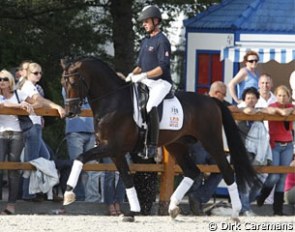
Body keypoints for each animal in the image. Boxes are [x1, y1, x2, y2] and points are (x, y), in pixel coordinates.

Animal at [61, 55, 260, 221]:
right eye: (63, 84)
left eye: (73, 82)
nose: (70, 112)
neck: (113, 101)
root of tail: (212, 101)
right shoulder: (115, 152)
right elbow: (126, 178)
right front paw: (132, 212)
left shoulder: (112, 147)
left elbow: (80, 158)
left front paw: (68, 194)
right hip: (177, 145)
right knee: (192, 172)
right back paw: (172, 208)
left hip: (211, 142)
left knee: (227, 171)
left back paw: (235, 213)